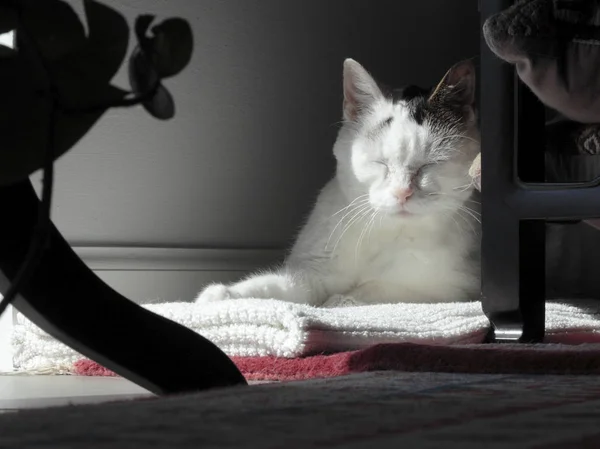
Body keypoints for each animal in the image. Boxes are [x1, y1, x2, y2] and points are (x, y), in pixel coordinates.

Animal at [197, 57, 482, 306]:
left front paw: (341, 302)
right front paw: (222, 296)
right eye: (380, 162)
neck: (382, 231)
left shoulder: (451, 287)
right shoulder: (314, 269)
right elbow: (280, 285)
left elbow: (380, 288)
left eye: (429, 164)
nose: (402, 192)